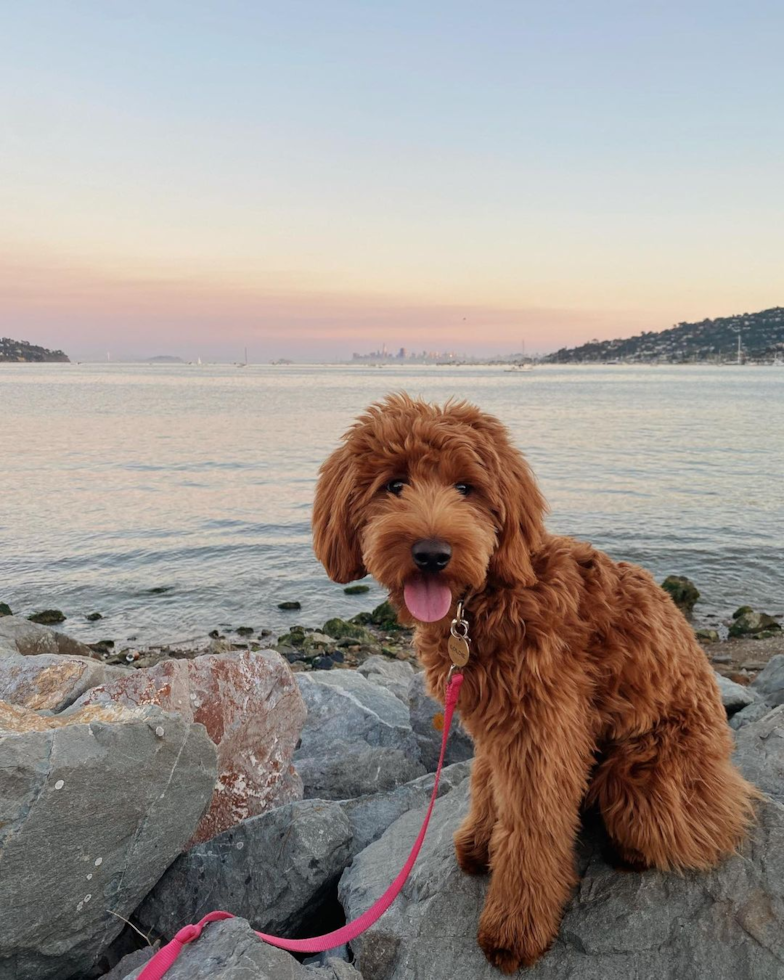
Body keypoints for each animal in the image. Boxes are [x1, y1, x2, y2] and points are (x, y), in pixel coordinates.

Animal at [310, 392, 756, 972]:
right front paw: (481, 841)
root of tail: (724, 770)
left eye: (466, 488)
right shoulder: (491, 715)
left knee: (694, 828)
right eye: (394, 484)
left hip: (643, 772)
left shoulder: (545, 727)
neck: (482, 603)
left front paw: (515, 929)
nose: (432, 553)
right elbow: (487, 782)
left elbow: (533, 826)